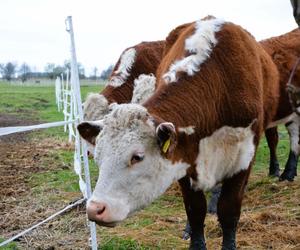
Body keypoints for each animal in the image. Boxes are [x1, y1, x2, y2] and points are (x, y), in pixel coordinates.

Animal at [77, 16, 278, 249]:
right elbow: (195, 210)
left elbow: (228, 212)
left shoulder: (243, 158)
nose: (95, 209)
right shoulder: (184, 156)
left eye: (137, 157)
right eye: (99, 158)